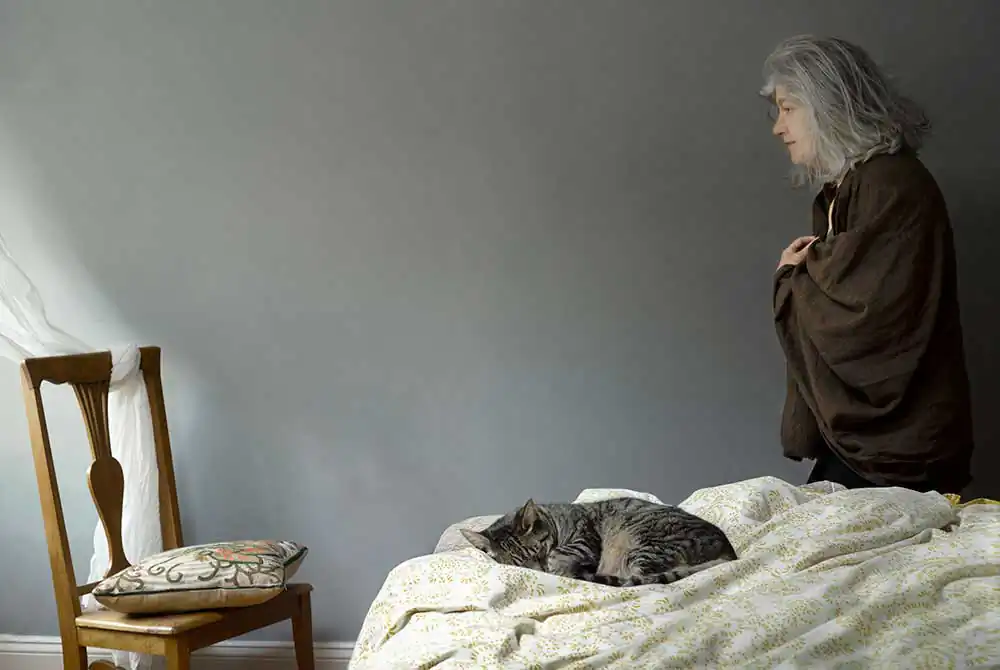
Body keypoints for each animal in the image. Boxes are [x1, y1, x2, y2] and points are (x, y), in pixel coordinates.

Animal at [460, 496, 736, 586]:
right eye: (517, 565)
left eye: (539, 551)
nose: (540, 570)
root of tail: (729, 551)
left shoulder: (585, 540)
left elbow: (559, 556)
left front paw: (557, 568)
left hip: (646, 545)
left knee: (640, 580)